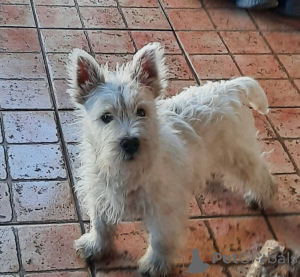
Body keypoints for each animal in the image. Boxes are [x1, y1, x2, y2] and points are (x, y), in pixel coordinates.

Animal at [67, 42, 278, 274]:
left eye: (141, 112)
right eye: (106, 117)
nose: (130, 142)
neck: (128, 170)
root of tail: (230, 88)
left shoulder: (164, 212)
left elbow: (161, 240)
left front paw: (155, 265)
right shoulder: (101, 195)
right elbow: (101, 225)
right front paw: (95, 246)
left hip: (239, 155)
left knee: (261, 174)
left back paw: (260, 197)